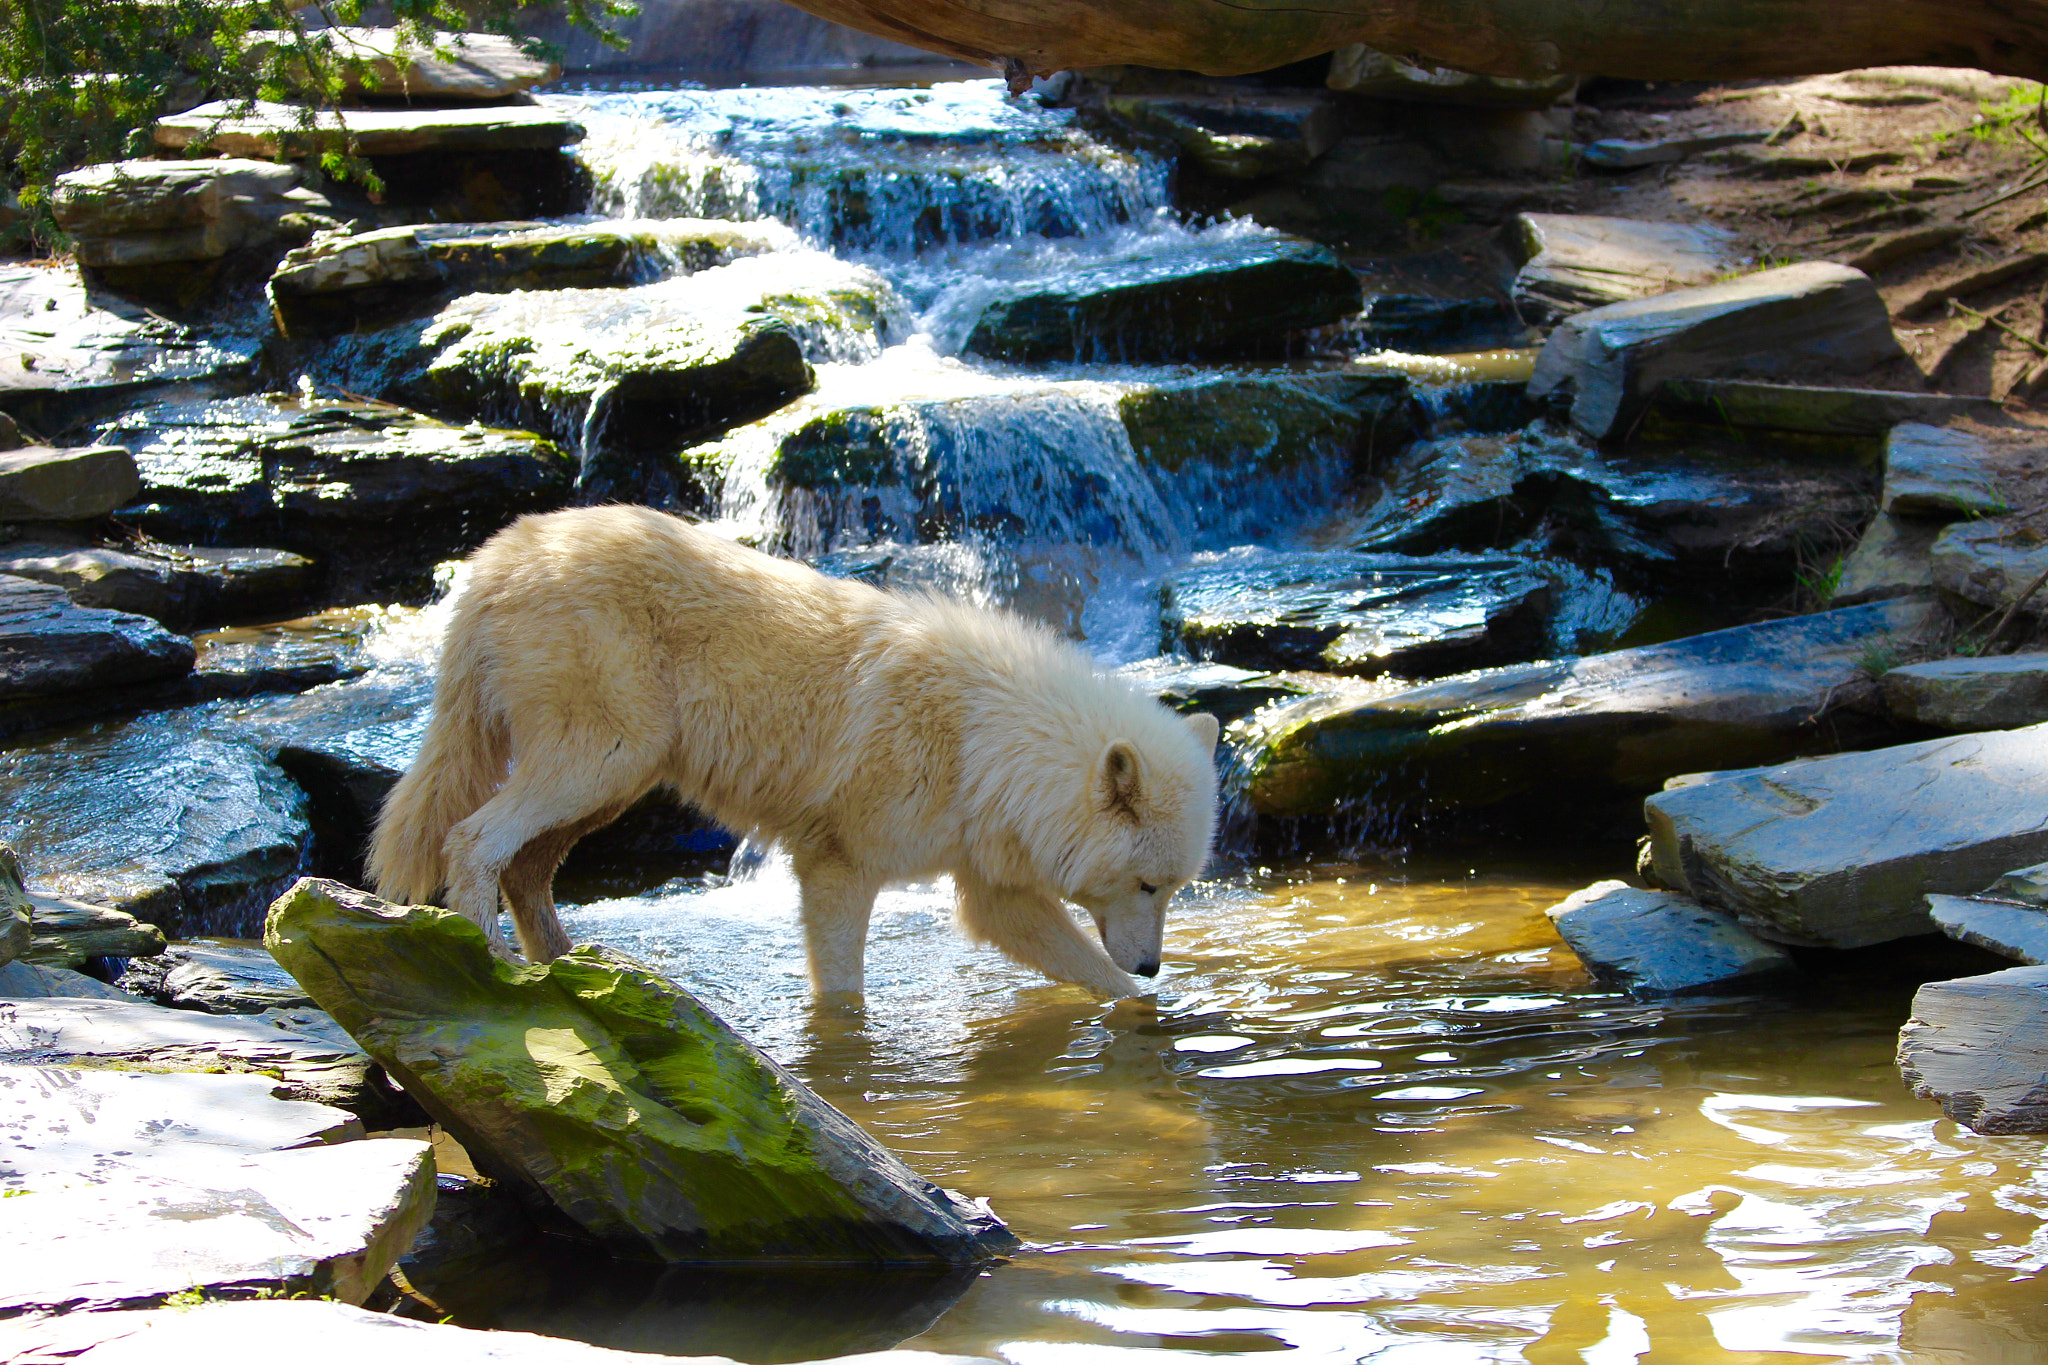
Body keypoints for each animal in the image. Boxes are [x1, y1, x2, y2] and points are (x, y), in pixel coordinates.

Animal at [367, 505, 1220, 1003]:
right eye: (1147, 884)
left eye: (1175, 888)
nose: (1154, 963)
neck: (984, 737)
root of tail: (494, 556)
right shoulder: (838, 865)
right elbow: (843, 991)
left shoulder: (992, 892)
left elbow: (1094, 975)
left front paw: (1158, 1012)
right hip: (600, 761)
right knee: (473, 839)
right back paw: (490, 962)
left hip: (613, 781)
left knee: (525, 868)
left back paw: (574, 966)